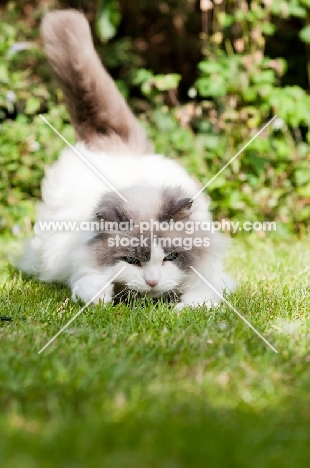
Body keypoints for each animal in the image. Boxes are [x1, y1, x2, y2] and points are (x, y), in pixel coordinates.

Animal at [17, 9, 235, 308]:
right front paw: (102, 299)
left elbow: (200, 298)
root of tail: (113, 143)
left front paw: (181, 310)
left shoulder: (213, 279)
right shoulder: (82, 266)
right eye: (132, 260)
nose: (152, 282)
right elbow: (92, 286)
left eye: (170, 257)